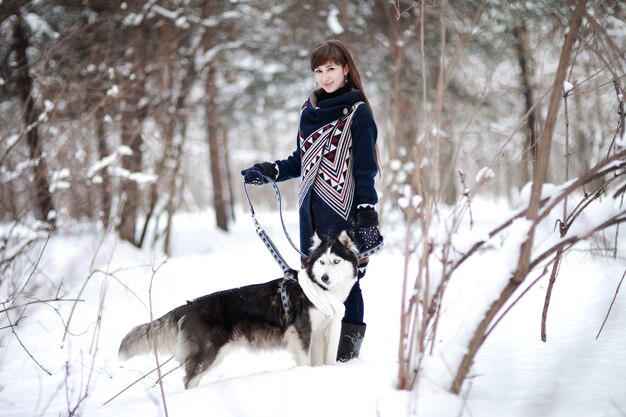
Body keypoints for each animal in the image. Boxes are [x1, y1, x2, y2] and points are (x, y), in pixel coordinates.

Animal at [117, 229, 356, 388]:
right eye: (322, 263)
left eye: (336, 261)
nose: (325, 278)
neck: (320, 291)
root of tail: (189, 306)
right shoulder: (301, 332)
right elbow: (306, 361)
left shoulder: (320, 332)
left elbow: (321, 360)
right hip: (208, 353)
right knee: (189, 379)